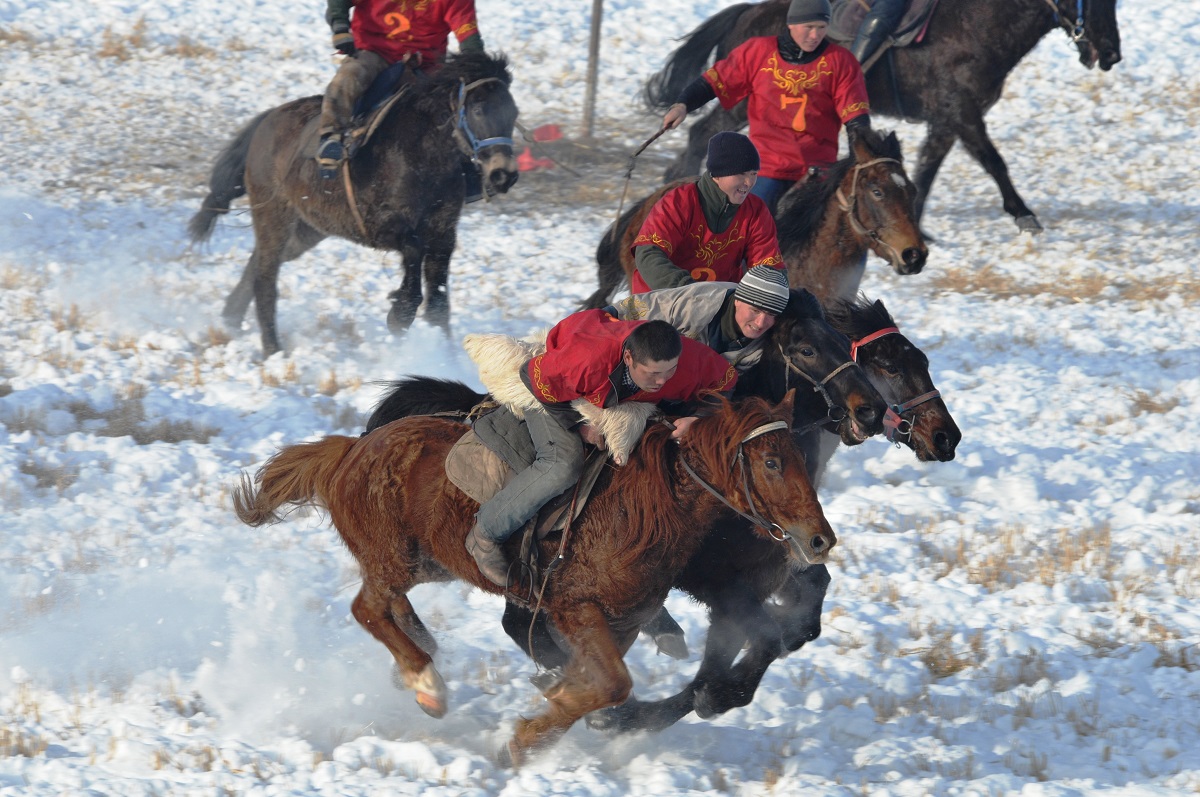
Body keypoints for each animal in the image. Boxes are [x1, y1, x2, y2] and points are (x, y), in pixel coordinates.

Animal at [189, 52, 518, 357]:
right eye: (478, 109)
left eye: (513, 112)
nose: (504, 175)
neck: (420, 153)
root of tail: (268, 120)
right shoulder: (379, 226)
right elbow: (413, 255)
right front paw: (399, 313)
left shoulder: (443, 234)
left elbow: (438, 304)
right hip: (274, 215)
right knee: (265, 279)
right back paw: (272, 350)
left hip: (308, 228)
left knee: (257, 263)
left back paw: (231, 319)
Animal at [234, 393, 835, 768]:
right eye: (772, 463)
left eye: (800, 457)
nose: (819, 539)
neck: (646, 506)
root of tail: (352, 450)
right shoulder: (576, 608)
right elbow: (611, 685)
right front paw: (524, 743)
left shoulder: (623, 623)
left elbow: (592, 683)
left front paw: (550, 720)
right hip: (395, 559)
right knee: (367, 609)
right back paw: (427, 684)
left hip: (426, 564)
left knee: (390, 610)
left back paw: (420, 664)